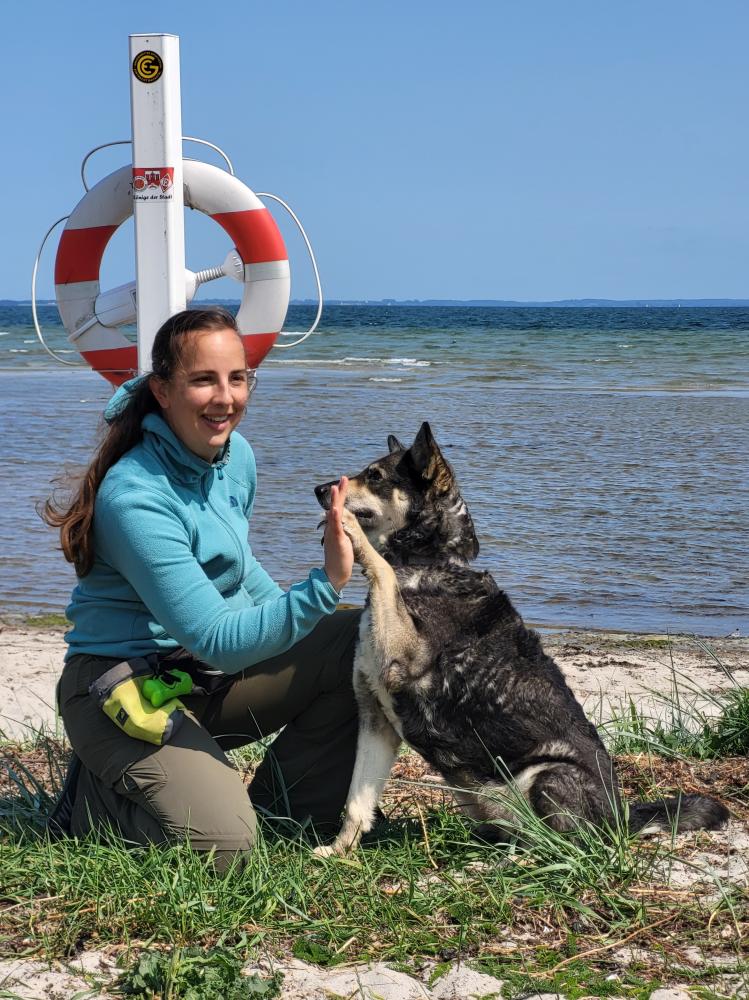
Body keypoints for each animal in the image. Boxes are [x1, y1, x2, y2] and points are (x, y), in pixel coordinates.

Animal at [312, 426, 728, 856]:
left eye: (374, 475)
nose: (320, 490)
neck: (431, 561)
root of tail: (624, 820)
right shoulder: (376, 719)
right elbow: (357, 802)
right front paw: (339, 853)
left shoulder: (403, 658)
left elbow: (382, 570)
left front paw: (346, 525)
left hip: (550, 775)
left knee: (567, 845)